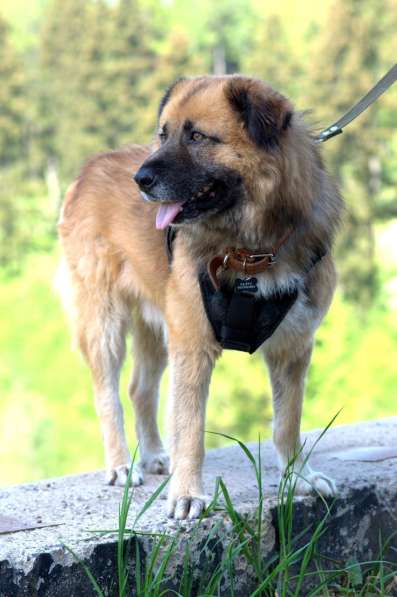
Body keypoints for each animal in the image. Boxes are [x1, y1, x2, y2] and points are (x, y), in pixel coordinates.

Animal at [57, 74, 342, 520]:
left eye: (196, 136)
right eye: (164, 134)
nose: (140, 180)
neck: (250, 251)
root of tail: (91, 166)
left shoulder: (293, 348)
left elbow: (287, 421)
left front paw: (299, 476)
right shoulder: (192, 346)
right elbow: (190, 429)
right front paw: (188, 494)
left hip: (157, 326)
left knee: (139, 389)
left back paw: (154, 455)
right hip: (105, 323)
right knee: (108, 395)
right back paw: (121, 464)